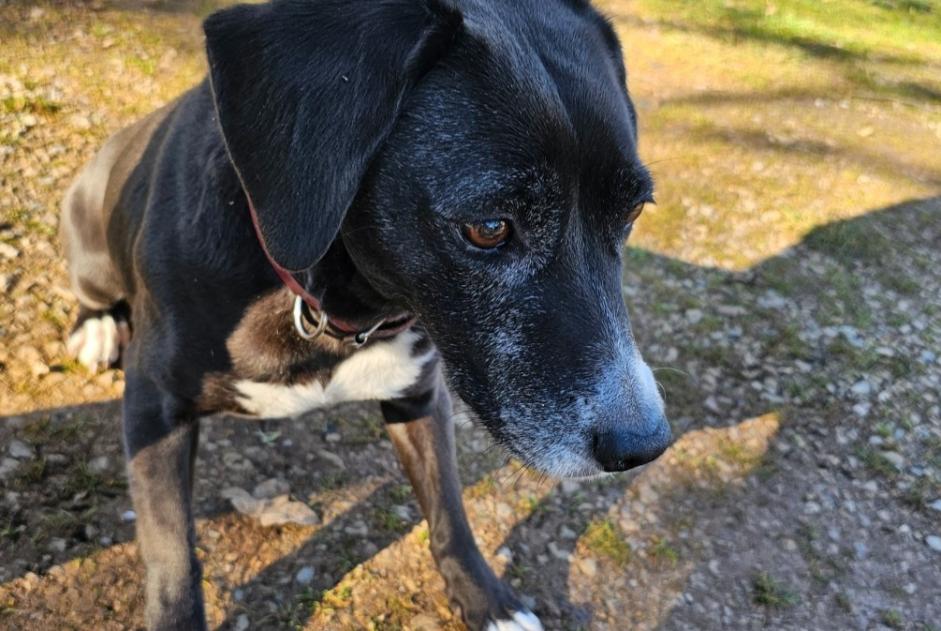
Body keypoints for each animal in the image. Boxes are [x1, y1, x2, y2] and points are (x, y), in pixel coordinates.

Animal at [58, 1, 672, 628]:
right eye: (489, 227)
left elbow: (449, 511)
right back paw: (96, 329)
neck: (332, 305)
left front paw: (486, 600)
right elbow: (172, 555)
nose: (644, 445)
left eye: (632, 213)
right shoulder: (153, 408)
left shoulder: (421, 398)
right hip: (92, 252)